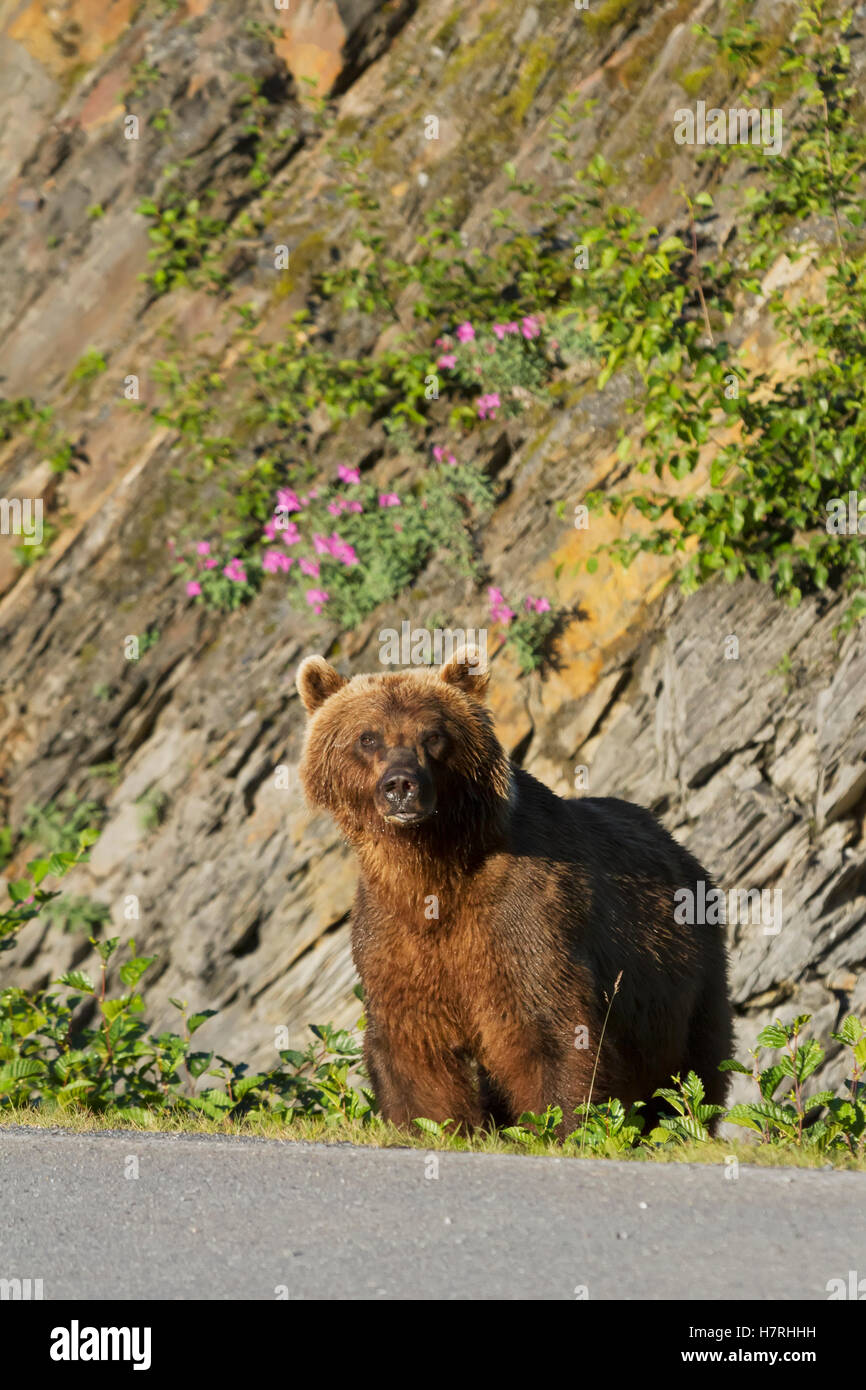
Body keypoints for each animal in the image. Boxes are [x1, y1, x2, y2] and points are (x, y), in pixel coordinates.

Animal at [297, 649, 733, 1136]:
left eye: (433, 735)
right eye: (367, 737)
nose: (401, 785)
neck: (432, 871)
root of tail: (678, 846)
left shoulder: (521, 916)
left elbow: (547, 1026)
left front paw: (561, 1126)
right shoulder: (392, 936)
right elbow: (413, 1044)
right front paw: (428, 1123)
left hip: (686, 979)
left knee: (692, 1070)